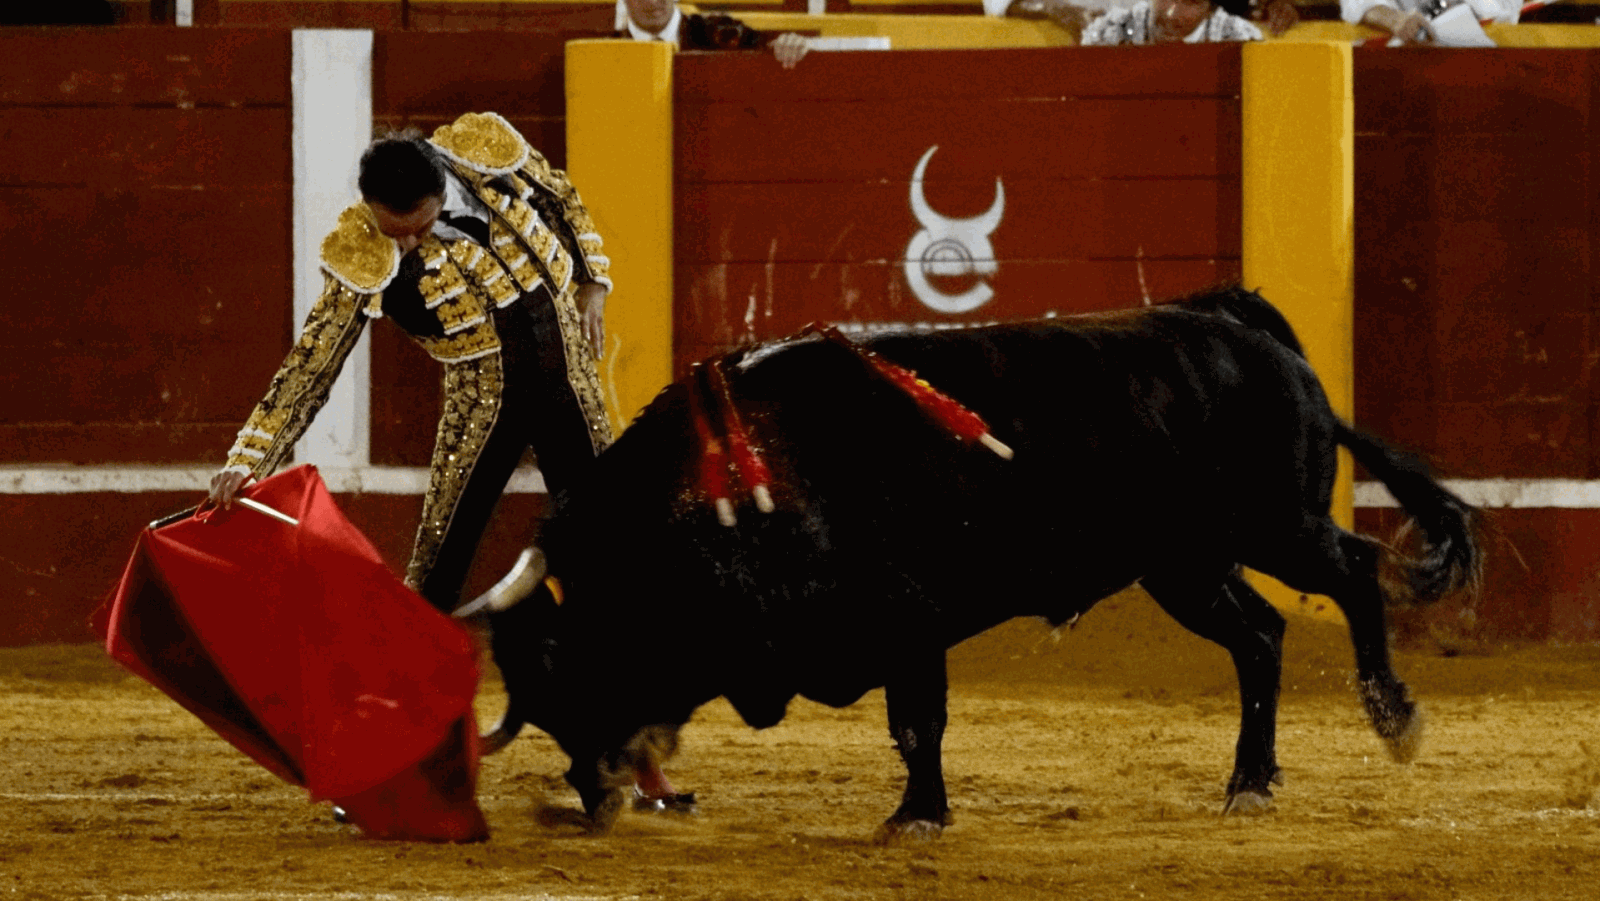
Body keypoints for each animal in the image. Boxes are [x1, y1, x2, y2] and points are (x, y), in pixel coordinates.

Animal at [470, 284, 1472, 838]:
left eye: (581, 655)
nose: (590, 793)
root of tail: (1232, 318)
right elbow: (913, 723)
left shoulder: (909, 621)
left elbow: (919, 723)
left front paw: (917, 817)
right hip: (1182, 564)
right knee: (1260, 636)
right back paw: (1249, 784)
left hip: (1275, 524)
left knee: (1354, 570)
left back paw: (1394, 715)